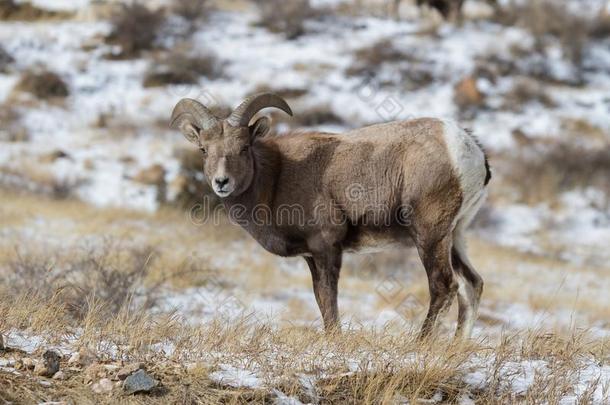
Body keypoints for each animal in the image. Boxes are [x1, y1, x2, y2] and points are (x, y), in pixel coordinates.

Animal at [167, 94, 490, 338]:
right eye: (204, 149)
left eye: (244, 147)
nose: (222, 182)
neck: (277, 177)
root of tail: (468, 149)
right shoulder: (312, 256)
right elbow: (321, 300)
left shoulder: (326, 247)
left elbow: (329, 300)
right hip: (455, 236)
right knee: (471, 285)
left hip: (429, 235)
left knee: (444, 285)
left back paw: (420, 344)